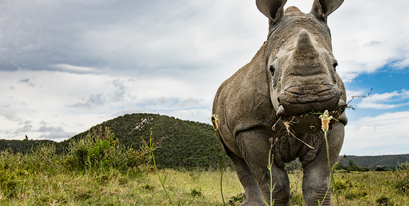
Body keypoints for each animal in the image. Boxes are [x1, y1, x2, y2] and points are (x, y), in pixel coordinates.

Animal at [212, 0, 346, 206]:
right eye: (272, 69)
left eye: (335, 65)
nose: (311, 98)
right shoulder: (250, 126)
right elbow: (276, 186)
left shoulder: (337, 121)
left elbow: (318, 185)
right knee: (237, 158)